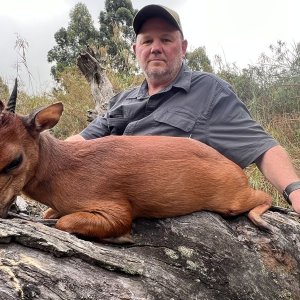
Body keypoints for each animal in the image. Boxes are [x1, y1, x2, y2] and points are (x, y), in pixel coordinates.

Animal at [0, 91, 274, 241]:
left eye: (15, 160)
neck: (62, 168)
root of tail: (234, 167)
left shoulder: (117, 210)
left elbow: (64, 223)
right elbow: (50, 215)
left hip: (233, 200)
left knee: (265, 196)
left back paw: (262, 222)